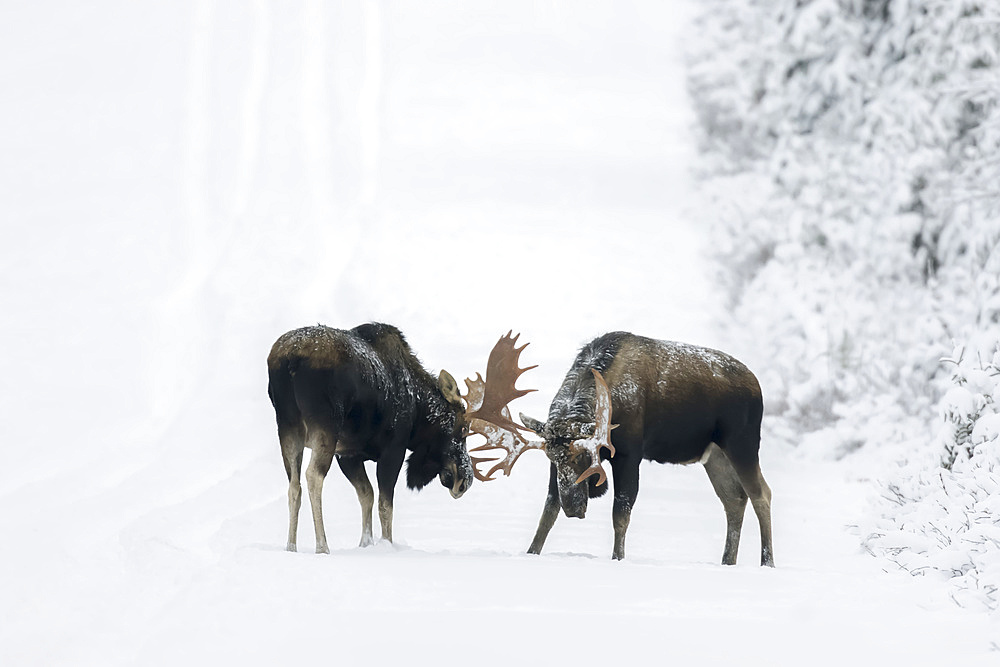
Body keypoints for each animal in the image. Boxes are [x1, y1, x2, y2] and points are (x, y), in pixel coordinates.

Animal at [468, 332, 772, 568]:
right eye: (552, 456)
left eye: (583, 455)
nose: (574, 508)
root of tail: (757, 384)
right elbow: (548, 511)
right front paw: (532, 552)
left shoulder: (629, 455)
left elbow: (621, 512)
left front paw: (618, 559)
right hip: (714, 456)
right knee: (734, 500)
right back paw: (727, 561)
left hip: (742, 443)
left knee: (761, 494)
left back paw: (767, 561)